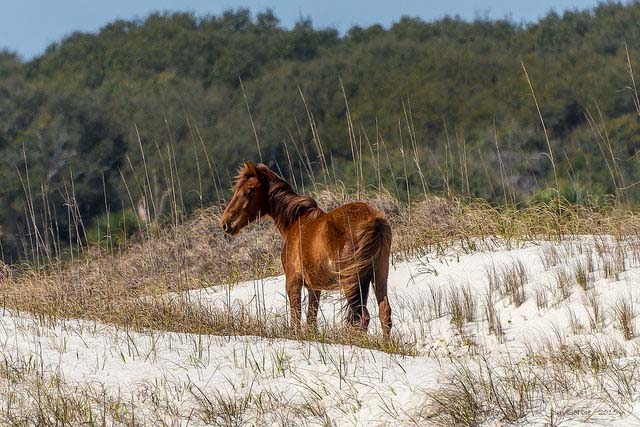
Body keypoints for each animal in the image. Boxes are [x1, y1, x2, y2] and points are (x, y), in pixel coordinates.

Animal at [220, 162, 392, 336]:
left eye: (247, 191)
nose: (225, 223)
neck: (295, 222)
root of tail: (373, 220)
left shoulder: (293, 282)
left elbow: (295, 320)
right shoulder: (314, 288)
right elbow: (311, 319)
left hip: (351, 281)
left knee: (362, 317)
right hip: (379, 274)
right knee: (384, 313)